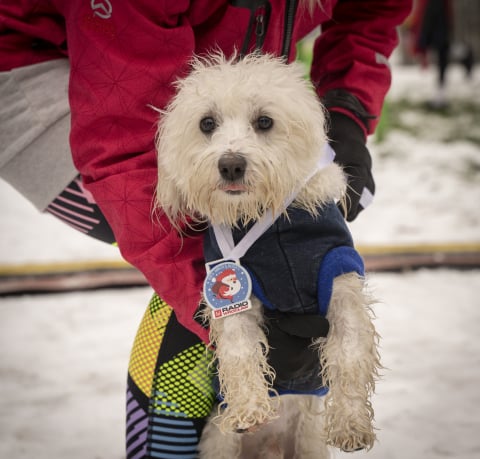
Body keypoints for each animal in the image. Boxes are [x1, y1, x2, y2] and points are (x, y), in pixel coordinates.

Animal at [156, 52, 380, 458]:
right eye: (207, 123)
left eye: (264, 121)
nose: (231, 164)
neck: (271, 223)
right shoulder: (233, 293)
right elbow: (240, 351)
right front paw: (248, 408)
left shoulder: (339, 278)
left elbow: (351, 353)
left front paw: (351, 424)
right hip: (219, 443)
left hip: (307, 442)